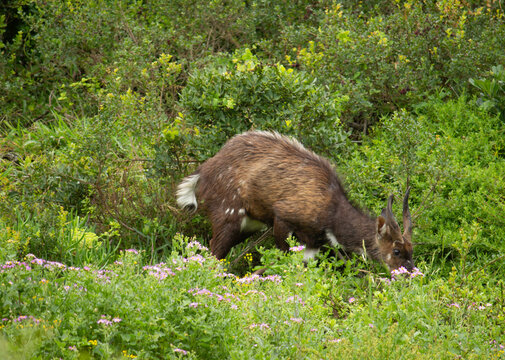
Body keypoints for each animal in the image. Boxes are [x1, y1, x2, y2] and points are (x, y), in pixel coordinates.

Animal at [177, 131, 414, 272]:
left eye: (412, 249)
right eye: (396, 250)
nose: (410, 273)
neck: (332, 214)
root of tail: (203, 171)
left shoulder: (313, 245)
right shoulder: (282, 219)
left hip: (248, 224)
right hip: (228, 216)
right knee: (213, 253)